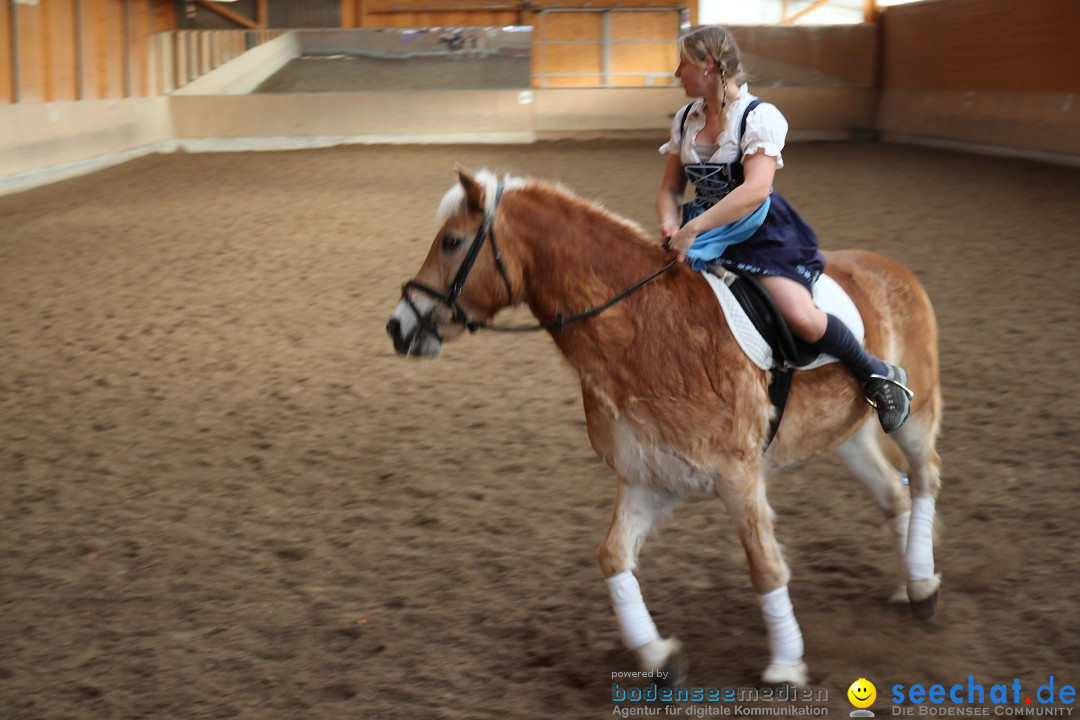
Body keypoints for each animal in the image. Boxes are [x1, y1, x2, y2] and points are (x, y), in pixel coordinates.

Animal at [384, 167, 941, 686]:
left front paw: (785, 666)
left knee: (924, 478)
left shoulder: (738, 476)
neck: (647, 328)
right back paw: (910, 582)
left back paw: (923, 585)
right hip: (847, 436)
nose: (397, 327)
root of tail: (889, 266)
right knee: (894, 493)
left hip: (914, 420)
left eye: (452, 241)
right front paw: (659, 657)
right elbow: (612, 557)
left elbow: (764, 567)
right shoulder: (648, 477)